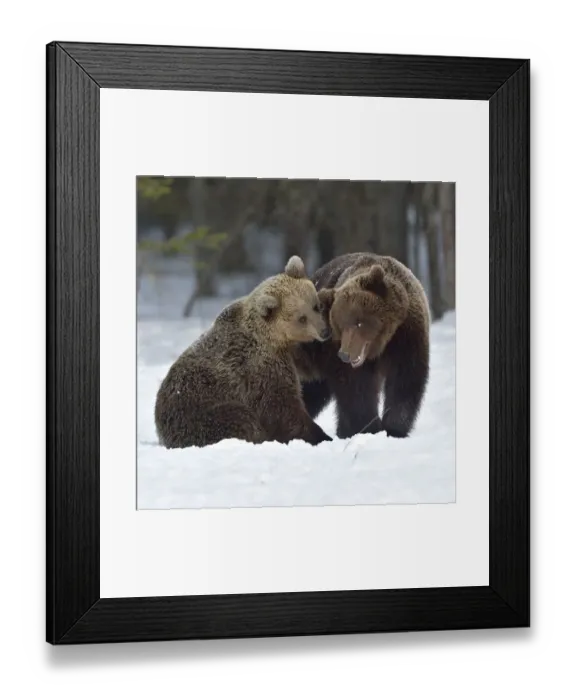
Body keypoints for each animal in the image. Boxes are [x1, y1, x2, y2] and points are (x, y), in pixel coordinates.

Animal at [154, 256, 333, 449]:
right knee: (240, 419)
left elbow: (309, 368)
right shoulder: (258, 369)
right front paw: (320, 436)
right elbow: (281, 409)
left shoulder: (288, 353)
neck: (273, 339)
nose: (324, 331)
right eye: (301, 318)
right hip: (199, 414)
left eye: (315, 306)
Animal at [293, 252, 430, 440]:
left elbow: (405, 380)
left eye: (359, 322)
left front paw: (394, 428)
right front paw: (370, 427)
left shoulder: (408, 336)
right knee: (308, 389)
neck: (382, 345)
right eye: (340, 325)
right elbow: (357, 390)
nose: (345, 354)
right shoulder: (337, 356)